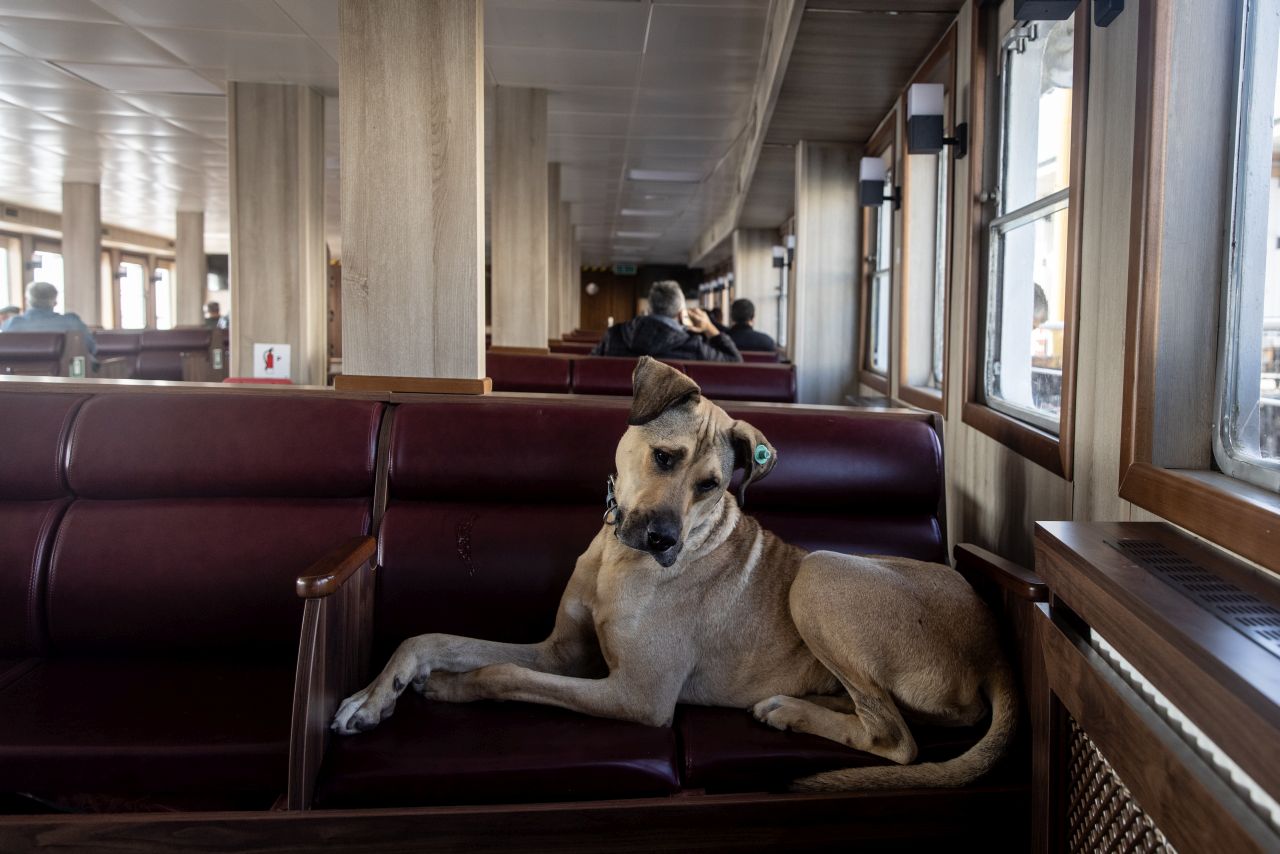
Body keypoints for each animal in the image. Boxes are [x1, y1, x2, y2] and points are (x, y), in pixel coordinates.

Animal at [335, 358, 1013, 793]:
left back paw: (791, 712)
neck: (619, 557)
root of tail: (995, 649)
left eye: (711, 484)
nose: (663, 540)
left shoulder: (637, 695)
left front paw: (453, 688)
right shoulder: (562, 652)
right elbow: (432, 638)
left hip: (820, 572)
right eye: (664, 457)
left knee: (896, 739)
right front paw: (375, 695)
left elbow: (500, 672)